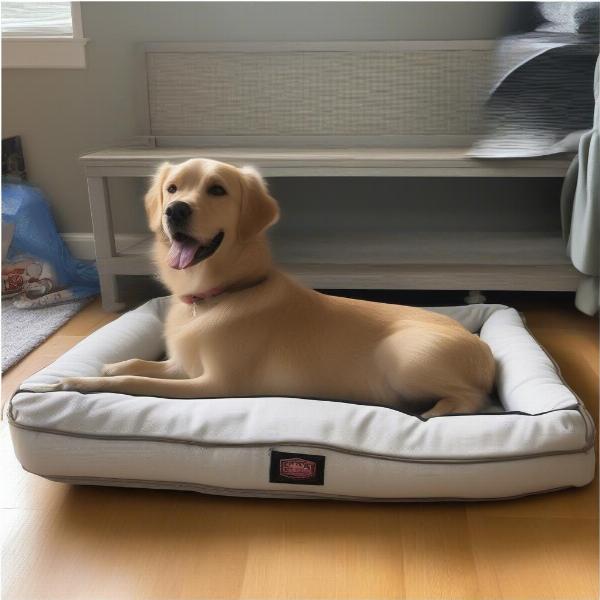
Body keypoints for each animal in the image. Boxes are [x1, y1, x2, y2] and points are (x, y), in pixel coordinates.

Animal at [55, 157, 496, 414]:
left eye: (217, 189)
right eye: (172, 188)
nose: (174, 211)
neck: (216, 296)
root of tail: (485, 349)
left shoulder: (214, 385)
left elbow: (137, 383)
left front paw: (79, 382)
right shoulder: (183, 366)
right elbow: (137, 365)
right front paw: (109, 366)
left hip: (402, 357)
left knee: (473, 399)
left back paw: (430, 413)